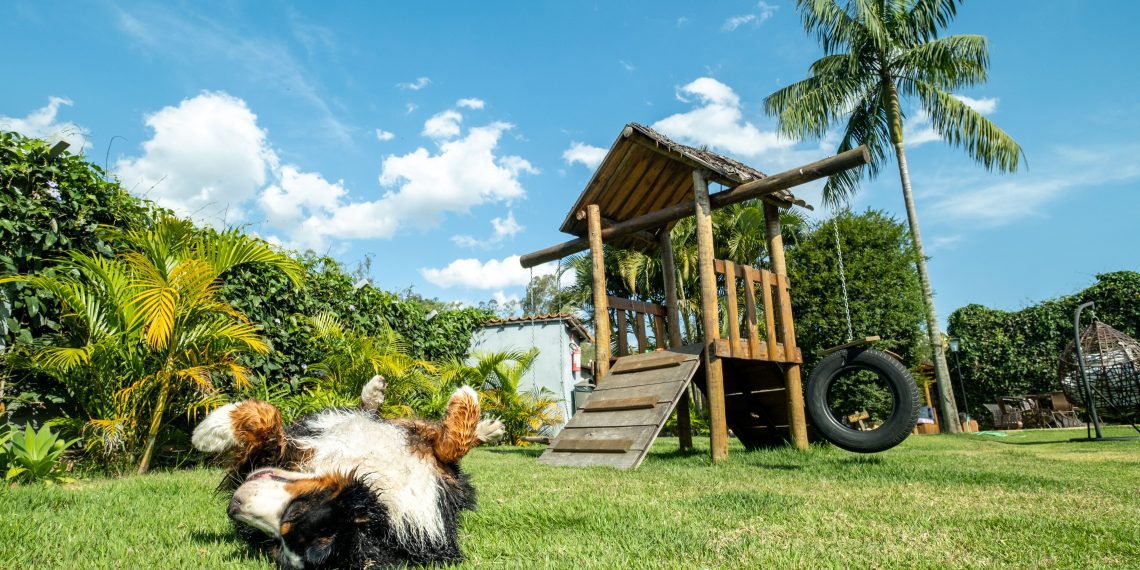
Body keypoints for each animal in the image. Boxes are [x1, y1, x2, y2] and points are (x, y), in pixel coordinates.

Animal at [192, 376, 503, 567]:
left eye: (293, 512)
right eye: (273, 542)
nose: (234, 505)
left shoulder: (438, 473)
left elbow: (451, 445)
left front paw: (209, 431)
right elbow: (266, 425)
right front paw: (210, 431)